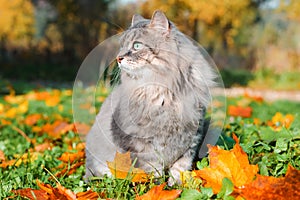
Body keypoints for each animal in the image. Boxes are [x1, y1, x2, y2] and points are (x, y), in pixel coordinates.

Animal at [85, 10, 217, 185]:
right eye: (122, 46)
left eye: (137, 46)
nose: (118, 58)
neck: (163, 89)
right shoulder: (143, 144)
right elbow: (153, 169)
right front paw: (158, 187)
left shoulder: (192, 134)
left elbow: (180, 167)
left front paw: (176, 186)